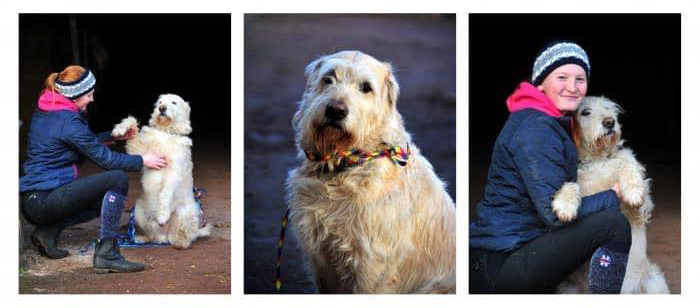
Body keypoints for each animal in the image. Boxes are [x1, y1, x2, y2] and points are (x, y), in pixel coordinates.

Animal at [110, 94, 211, 250]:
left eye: (174, 102)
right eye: (160, 102)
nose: (161, 108)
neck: (166, 132)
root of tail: (165, 233)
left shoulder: (174, 172)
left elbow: (164, 193)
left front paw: (163, 215)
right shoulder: (139, 151)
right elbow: (132, 121)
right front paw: (121, 129)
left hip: (186, 212)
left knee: (183, 236)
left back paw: (179, 242)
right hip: (138, 211)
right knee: (155, 235)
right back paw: (143, 239)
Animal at [552, 96, 672, 294]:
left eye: (608, 108)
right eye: (585, 112)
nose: (610, 122)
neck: (598, 159)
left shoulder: (640, 210)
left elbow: (626, 165)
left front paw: (633, 190)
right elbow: (571, 184)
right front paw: (564, 204)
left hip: (654, 282)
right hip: (568, 288)